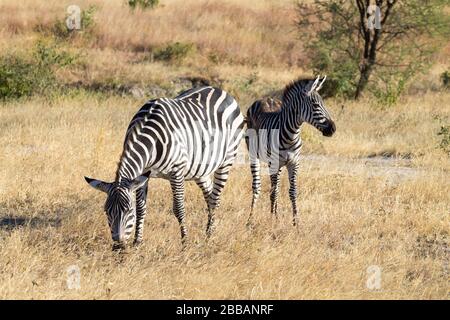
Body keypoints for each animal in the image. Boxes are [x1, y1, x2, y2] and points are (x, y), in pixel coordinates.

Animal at [84, 86, 246, 249]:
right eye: (106, 211)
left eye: (129, 211)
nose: (118, 246)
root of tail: (221, 91)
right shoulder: (144, 173)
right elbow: (141, 208)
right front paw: (137, 242)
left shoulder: (177, 171)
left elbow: (179, 208)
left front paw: (185, 242)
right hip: (200, 168)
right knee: (210, 194)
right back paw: (210, 230)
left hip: (227, 160)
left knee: (215, 199)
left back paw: (209, 236)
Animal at [244, 75, 336, 225]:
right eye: (316, 105)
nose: (333, 129)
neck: (291, 136)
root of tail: (266, 98)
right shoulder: (275, 162)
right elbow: (274, 192)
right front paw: (273, 221)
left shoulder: (294, 163)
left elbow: (292, 191)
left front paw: (295, 223)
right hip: (255, 155)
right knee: (257, 186)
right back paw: (250, 219)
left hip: (279, 164)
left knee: (274, 186)